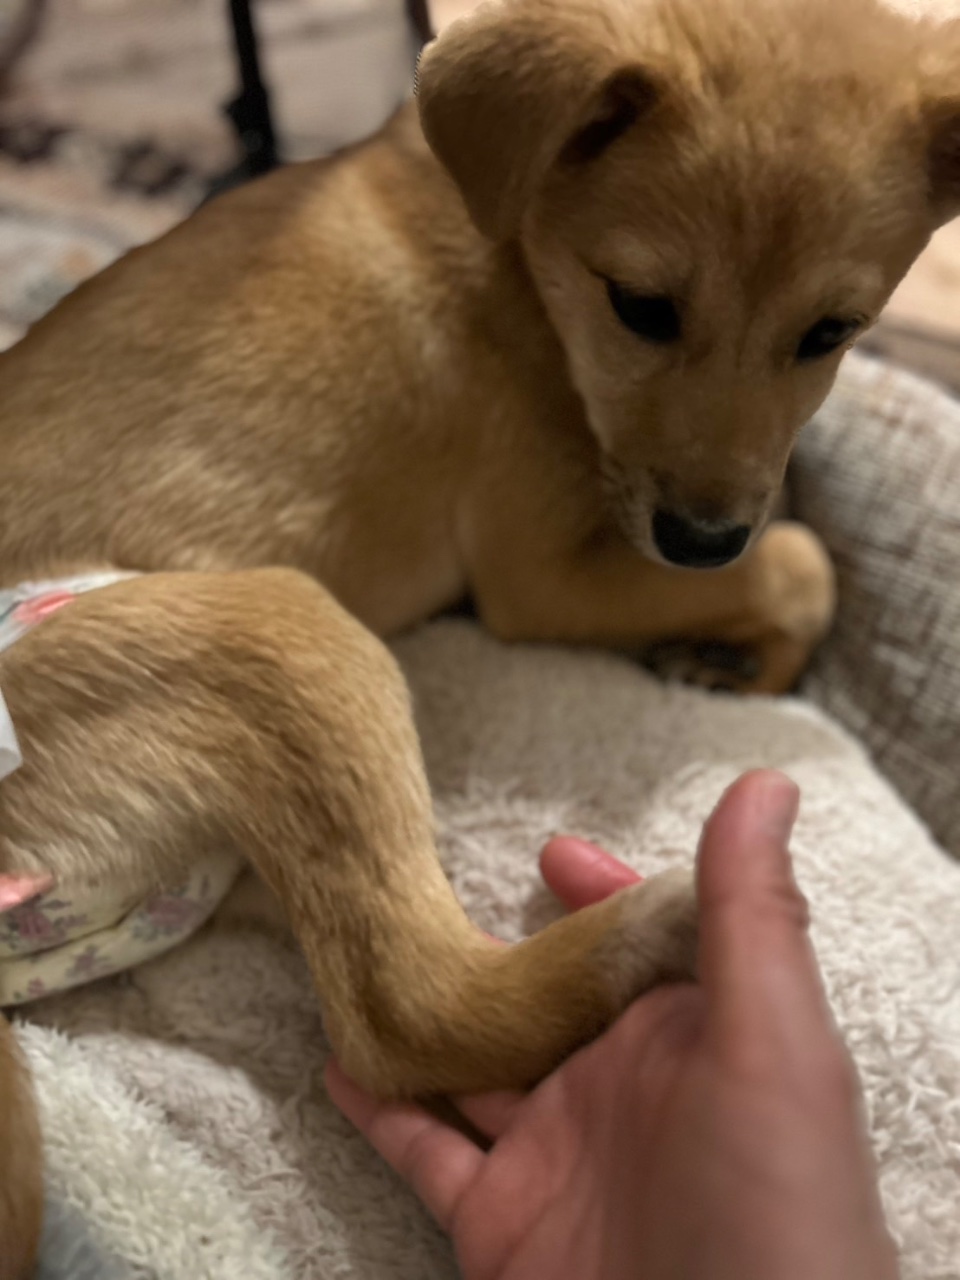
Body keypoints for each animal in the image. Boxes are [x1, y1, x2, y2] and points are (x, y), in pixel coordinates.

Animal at [0, 0, 957, 1270]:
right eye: (640, 305)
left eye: (835, 330)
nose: (702, 542)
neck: (513, 231)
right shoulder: (541, 574)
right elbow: (804, 565)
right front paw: (754, 648)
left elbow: (791, 540)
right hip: (287, 635)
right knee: (404, 1013)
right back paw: (652, 926)